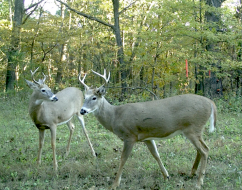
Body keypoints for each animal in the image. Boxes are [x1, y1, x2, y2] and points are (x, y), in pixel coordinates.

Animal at [79, 69, 217, 189]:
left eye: (94, 98)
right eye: (84, 97)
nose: (82, 110)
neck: (115, 117)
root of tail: (211, 103)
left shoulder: (130, 136)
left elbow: (123, 159)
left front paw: (115, 184)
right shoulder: (147, 137)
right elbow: (156, 154)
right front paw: (166, 176)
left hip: (193, 127)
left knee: (205, 150)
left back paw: (199, 183)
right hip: (195, 130)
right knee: (201, 149)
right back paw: (192, 173)